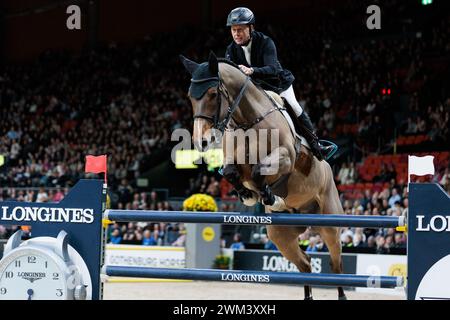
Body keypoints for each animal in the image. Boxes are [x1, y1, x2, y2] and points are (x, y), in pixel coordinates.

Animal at [180, 52, 348, 300]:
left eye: (212, 94)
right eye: (191, 97)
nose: (201, 142)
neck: (247, 121)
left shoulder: (286, 158)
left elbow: (260, 170)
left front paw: (269, 196)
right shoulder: (234, 162)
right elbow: (230, 172)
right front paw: (250, 195)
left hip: (329, 224)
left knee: (336, 265)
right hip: (281, 236)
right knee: (305, 263)